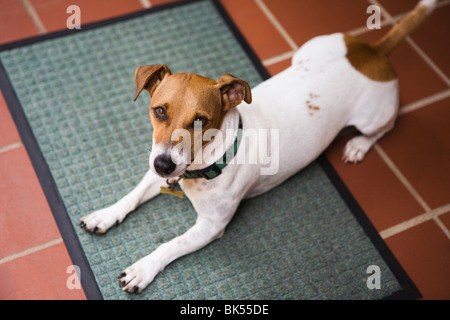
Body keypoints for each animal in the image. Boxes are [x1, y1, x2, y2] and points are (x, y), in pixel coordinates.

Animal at [80, 0, 436, 294]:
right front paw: (105, 215)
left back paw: (358, 146)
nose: (163, 165)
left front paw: (142, 269)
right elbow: (132, 196)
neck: (208, 161)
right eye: (159, 111)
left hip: (374, 116)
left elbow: (170, 244)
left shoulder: (210, 226)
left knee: (383, 128)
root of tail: (376, 52)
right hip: (310, 50)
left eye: (201, 120)